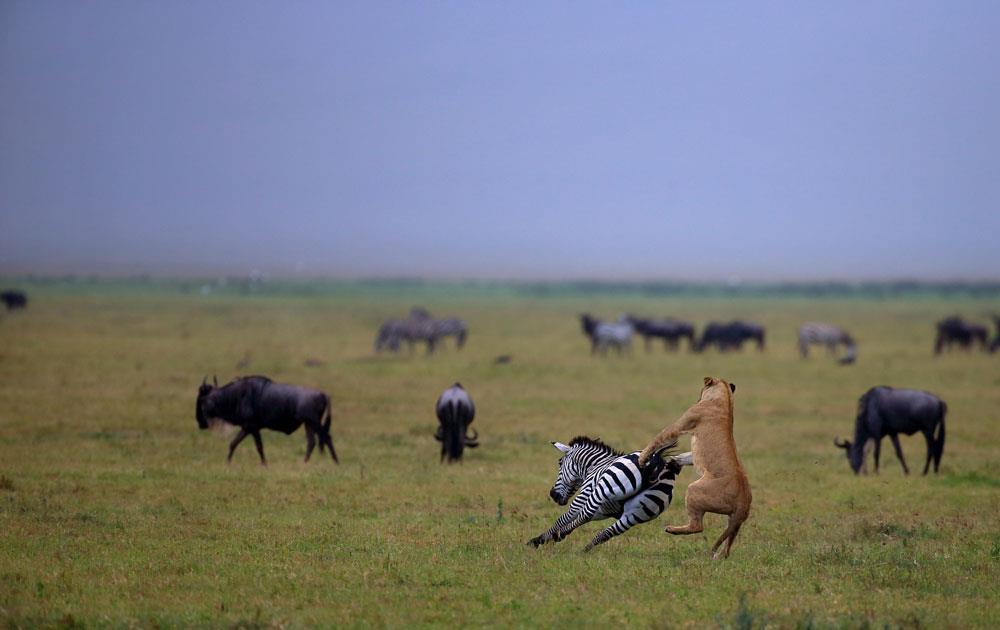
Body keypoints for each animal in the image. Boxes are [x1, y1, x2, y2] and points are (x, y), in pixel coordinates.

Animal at [528, 436, 692, 552]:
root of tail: (655, 463)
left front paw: (539, 539)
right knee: (608, 532)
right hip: (639, 512)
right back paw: (584, 550)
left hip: (603, 489)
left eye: (560, 462)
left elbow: (565, 518)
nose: (553, 495)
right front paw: (547, 538)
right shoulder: (603, 510)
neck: (595, 465)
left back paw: (562, 535)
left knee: (585, 515)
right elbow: (581, 518)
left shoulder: (587, 493)